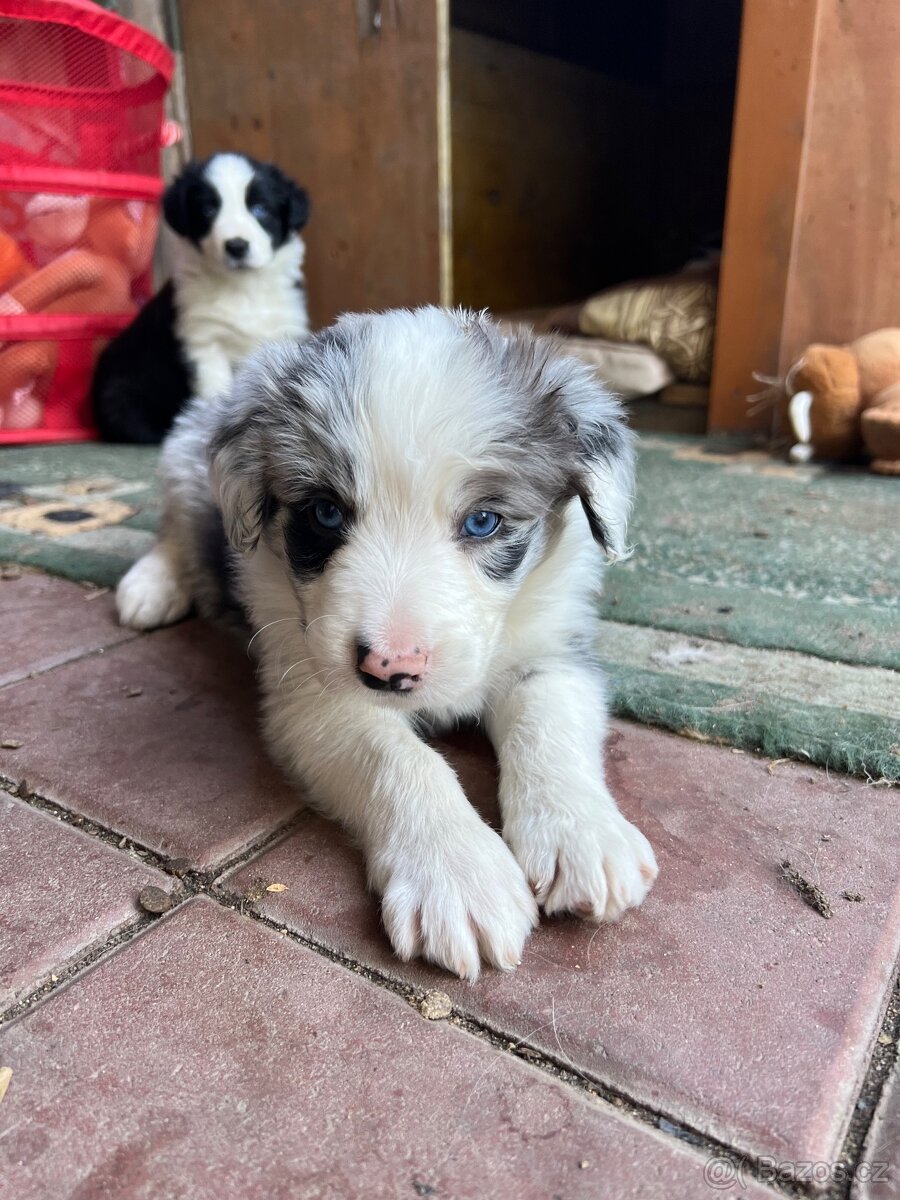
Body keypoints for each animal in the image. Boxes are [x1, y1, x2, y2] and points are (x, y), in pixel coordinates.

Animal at [91, 153, 309, 446]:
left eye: (260, 208)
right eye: (207, 210)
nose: (236, 246)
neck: (243, 288)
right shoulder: (203, 343)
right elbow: (215, 392)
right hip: (120, 396)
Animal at [116, 307, 657, 974]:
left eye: (484, 521)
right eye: (324, 513)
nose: (391, 668)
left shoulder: (553, 651)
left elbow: (547, 722)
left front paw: (580, 834)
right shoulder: (313, 694)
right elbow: (402, 758)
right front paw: (459, 876)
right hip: (182, 466)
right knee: (172, 530)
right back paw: (150, 587)